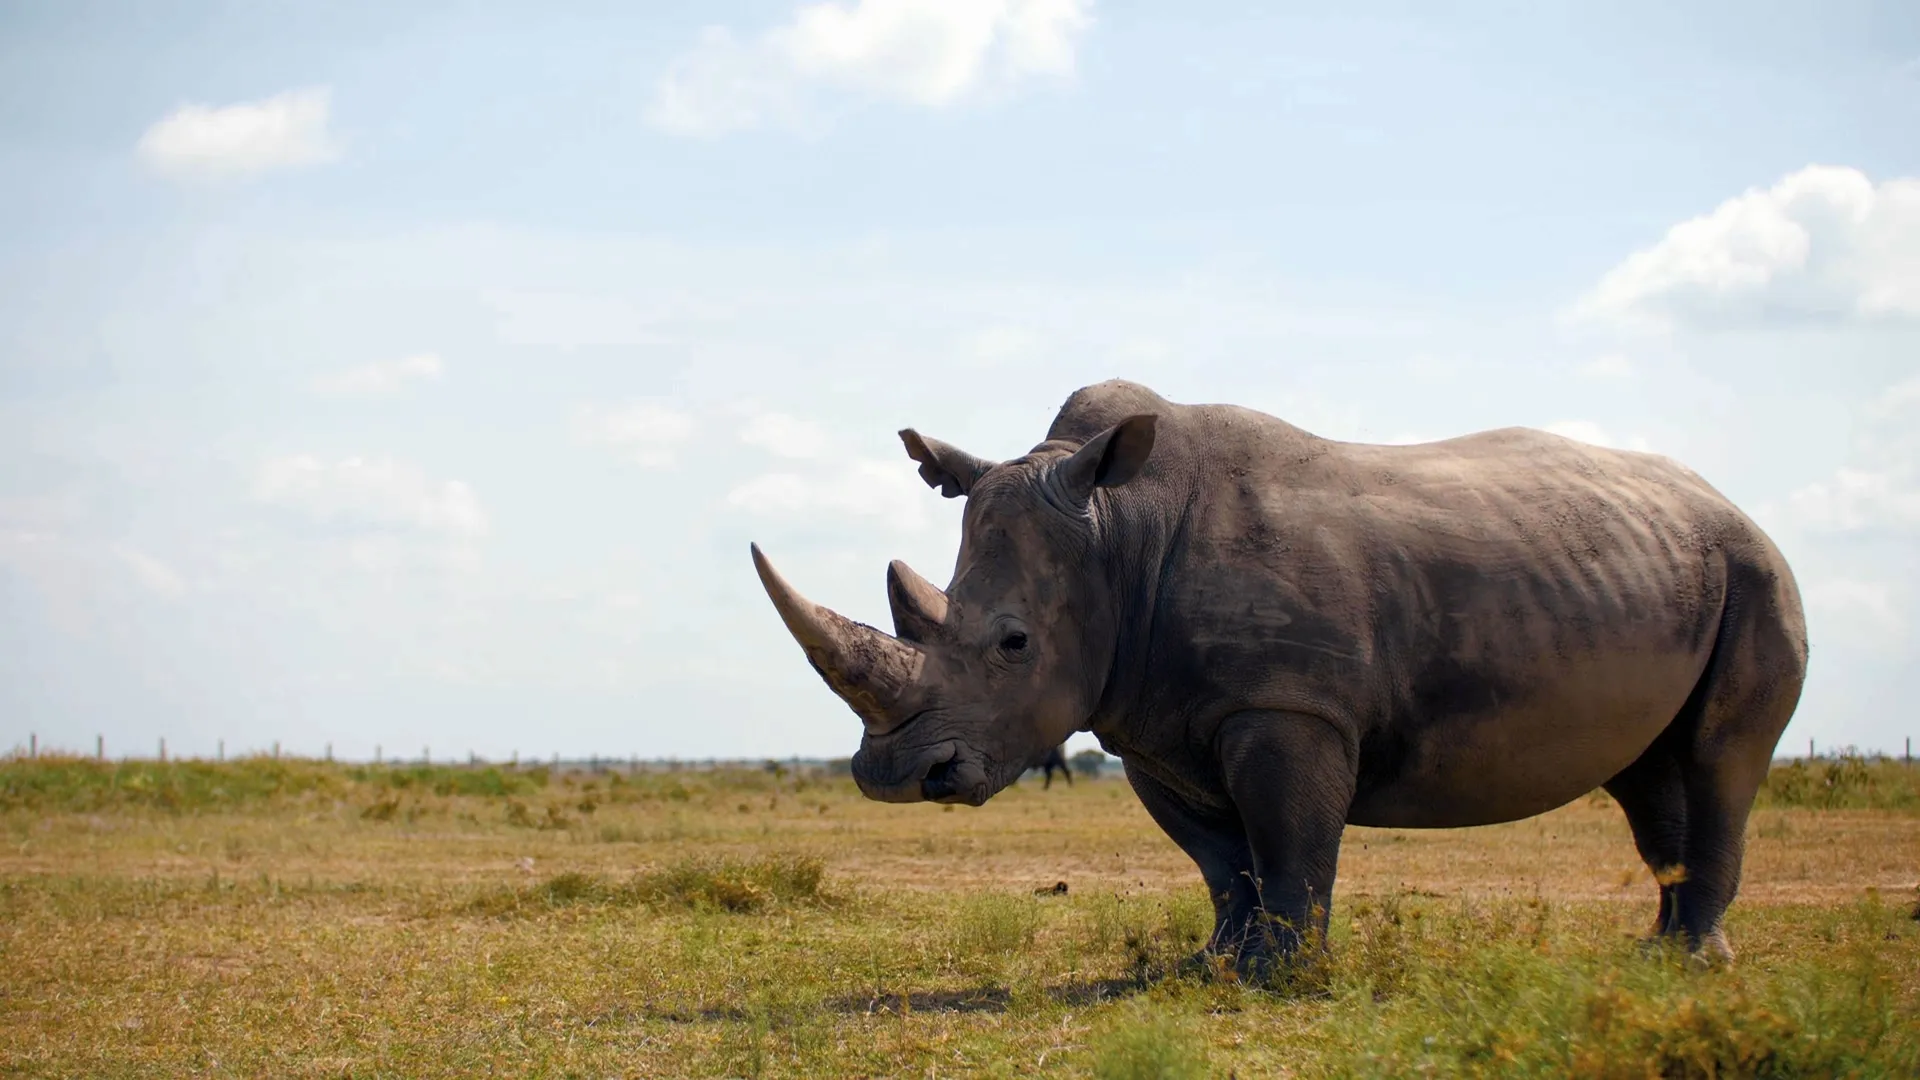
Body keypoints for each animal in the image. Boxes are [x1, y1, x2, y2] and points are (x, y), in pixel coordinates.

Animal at [750, 379, 1807, 973]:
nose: (899, 779)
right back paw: (1656, 953)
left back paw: (1696, 966)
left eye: (1013, 644)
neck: (1118, 534)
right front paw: (1210, 967)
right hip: (1666, 568)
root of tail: (1729, 503)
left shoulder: (1288, 706)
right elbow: (1224, 861)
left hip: (1757, 571)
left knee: (1718, 758)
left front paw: (1286, 977)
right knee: (1649, 771)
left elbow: (1291, 844)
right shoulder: (1152, 722)